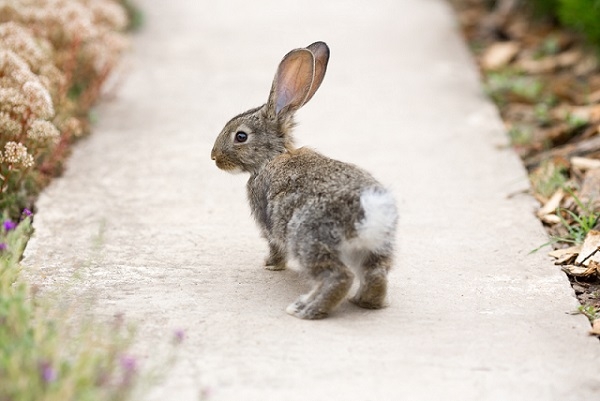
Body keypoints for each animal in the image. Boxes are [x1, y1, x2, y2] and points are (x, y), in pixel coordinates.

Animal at [211, 41, 398, 318]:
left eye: (241, 136)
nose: (214, 156)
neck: (273, 157)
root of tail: (369, 210)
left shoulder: (268, 226)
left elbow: (275, 248)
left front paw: (270, 265)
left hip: (309, 239)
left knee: (338, 277)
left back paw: (304, 309)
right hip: (376, 249)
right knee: (376, 274)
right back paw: (364, 302)